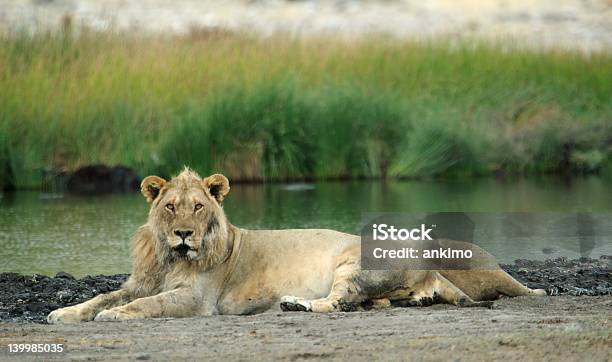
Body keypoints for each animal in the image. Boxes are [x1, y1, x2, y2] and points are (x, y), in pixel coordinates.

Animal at [47, 168, 544, 324]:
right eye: (171, 207)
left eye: (198, 207)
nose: (185, 234)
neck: (172, 259)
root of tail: (426, 262)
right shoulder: (140, 282)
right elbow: (103, 295)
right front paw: (63, 312)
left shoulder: (196, 298)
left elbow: (148, 305)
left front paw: (114, 317)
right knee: (364, 303)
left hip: (353, 264)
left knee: (339, 303)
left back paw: (295, 305)